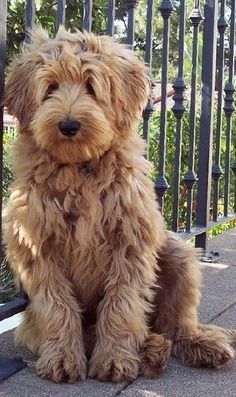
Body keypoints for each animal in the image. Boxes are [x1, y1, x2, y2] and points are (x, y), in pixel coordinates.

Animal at [2, 26, 236, 382]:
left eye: (90, 86)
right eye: (51, 87)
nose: (68, 125)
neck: (79, 170)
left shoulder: (130, 241)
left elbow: (121, 303)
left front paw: (113, 359)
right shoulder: (38, 247)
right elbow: (57, 304)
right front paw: (62, 358)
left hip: (177, 255)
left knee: (175, 324)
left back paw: (193, 345)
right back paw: (151, 350)